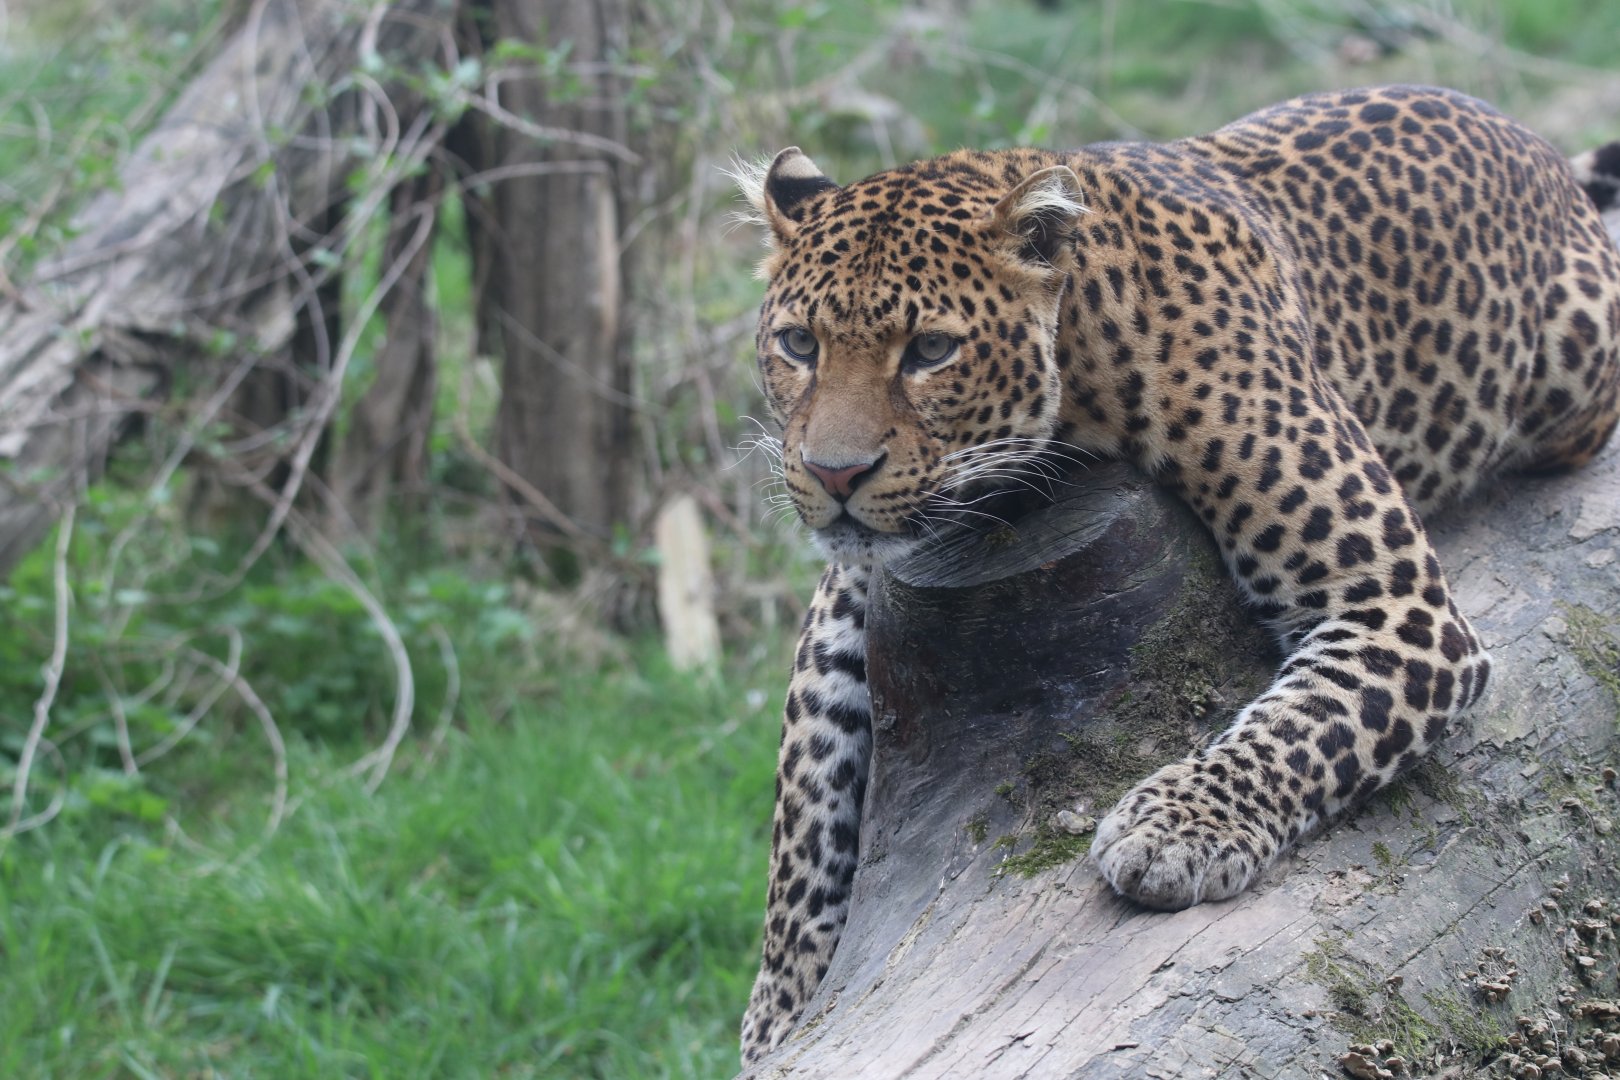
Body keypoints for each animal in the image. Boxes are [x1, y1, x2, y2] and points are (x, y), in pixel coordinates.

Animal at [731, 85, 1620, 1065]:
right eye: (798, 344)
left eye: (930, 350)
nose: (834, 475)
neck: (1082, 357)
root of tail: (1532, 142)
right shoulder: (856, 589)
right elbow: (806, 792)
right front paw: (779, 1006)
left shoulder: (1396, 609)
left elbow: (1304, 725)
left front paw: (1172, 831)